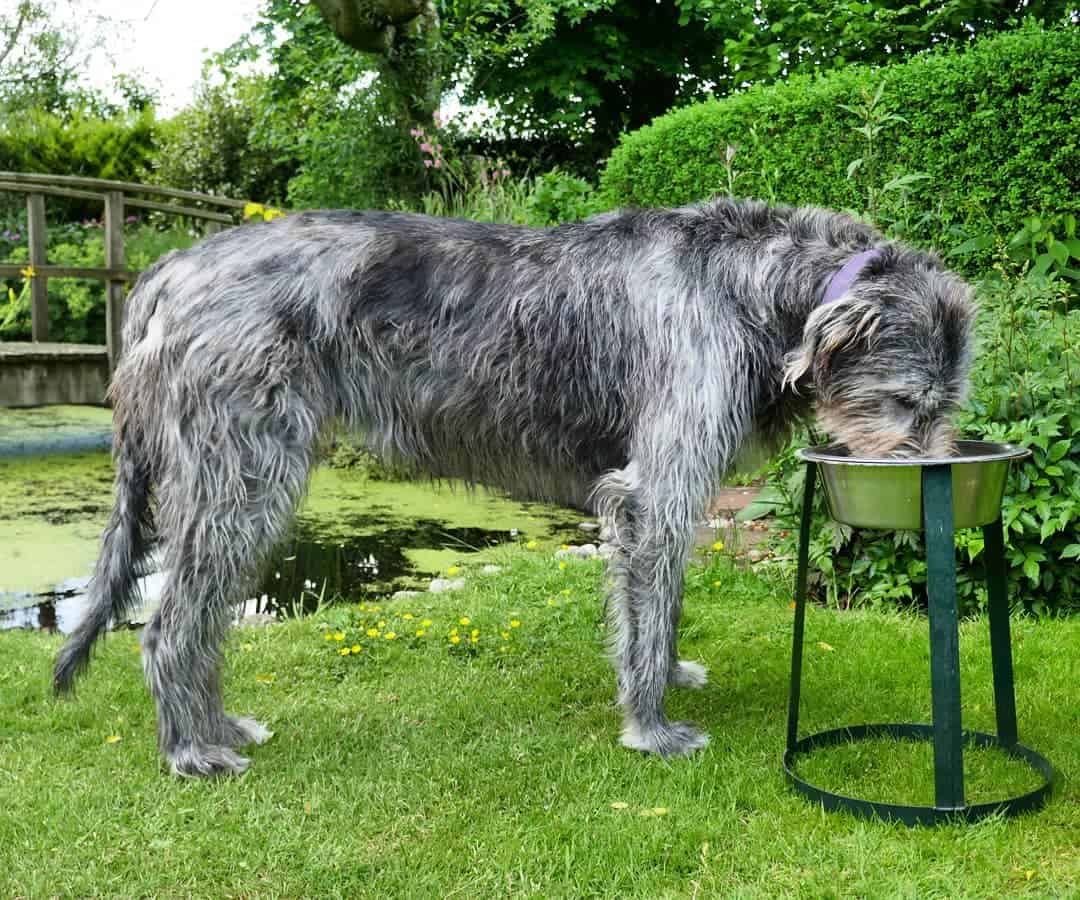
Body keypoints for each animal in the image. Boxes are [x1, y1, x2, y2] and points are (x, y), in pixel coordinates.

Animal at [54, 199, 976, 777]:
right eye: (908, 403)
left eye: (948, 405)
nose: (933, 474)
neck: (750, 283)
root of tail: (170, 269)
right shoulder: (653, 486)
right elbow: (650, 596)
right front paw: (651, 727)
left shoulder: (666, 495)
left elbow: (663, 599)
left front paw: (667, 673)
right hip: (242, 477)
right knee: (168, 623)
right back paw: (190, 751)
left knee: (203, 617)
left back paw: (217, 726)